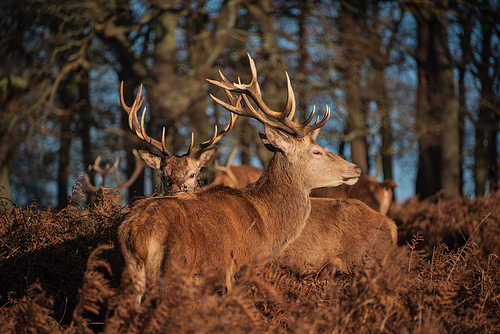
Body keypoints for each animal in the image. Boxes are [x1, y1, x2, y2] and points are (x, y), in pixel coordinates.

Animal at [117, 54, 360, 306]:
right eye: (316, 151)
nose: (356, 168)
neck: (266, 227)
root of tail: (138, 233)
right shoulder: (239, 270)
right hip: (176, 270)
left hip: (130, 273)